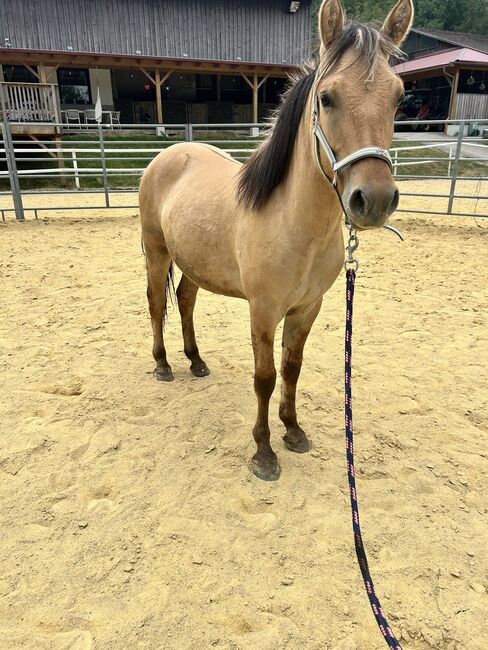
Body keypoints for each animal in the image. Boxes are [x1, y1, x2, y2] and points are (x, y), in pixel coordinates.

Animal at [139, 0, 414, 481]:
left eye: (398, 97)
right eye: (326, 97)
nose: (374, 199)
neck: (293, 222)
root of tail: (167, 155)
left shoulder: (307, 308)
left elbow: (292, 368)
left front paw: (293, 432)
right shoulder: (263, 309)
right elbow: (265, 377)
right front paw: (264, 452)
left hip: (193, 262)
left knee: (185, 301)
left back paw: (196, 361)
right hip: (157, 251)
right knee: (158, 303)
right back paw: (164, 365)